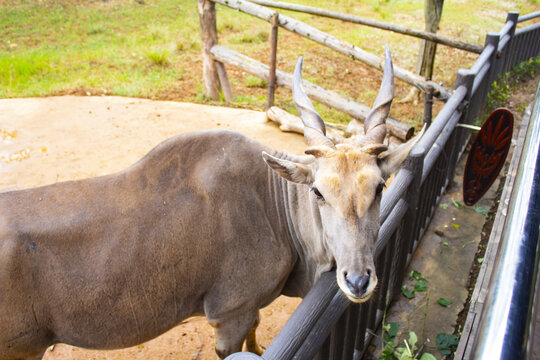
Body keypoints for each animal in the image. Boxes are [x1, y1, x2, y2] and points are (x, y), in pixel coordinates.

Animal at [0, 46, 422, 358]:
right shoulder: (229, 314)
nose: (358, 280)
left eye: (379, 187)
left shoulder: (249, 309)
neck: (272, 198)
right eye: (318, 191)